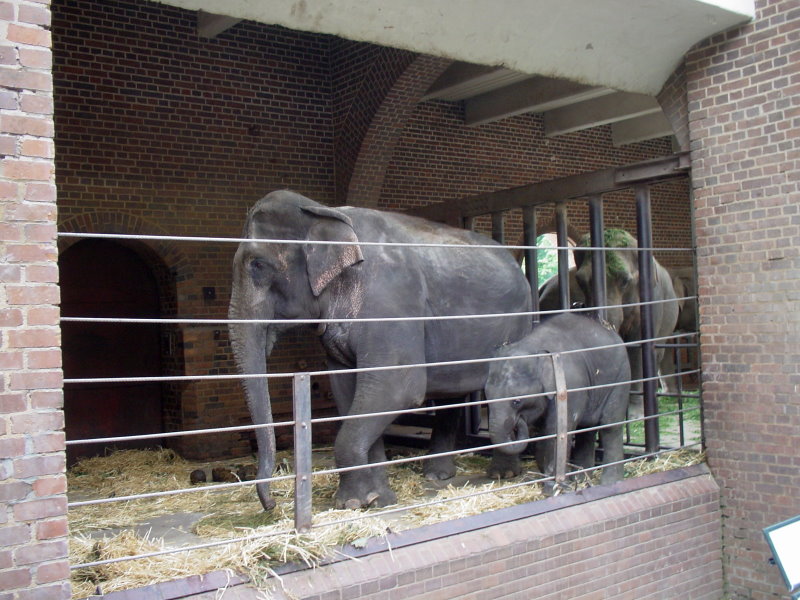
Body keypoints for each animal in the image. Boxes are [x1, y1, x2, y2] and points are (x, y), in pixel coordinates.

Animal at [228, 190, 533, 511]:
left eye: (257, 265)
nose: (271, 503)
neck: (323, 211)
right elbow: (349, 393)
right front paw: (373, 500)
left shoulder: (391, 303)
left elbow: (397, 388)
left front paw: (353, 502)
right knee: (453, 394)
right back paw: (438, 475)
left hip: (518, 323)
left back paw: (503, 474)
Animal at [484, 312, 630, 486]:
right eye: (486, 399)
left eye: (517, 401)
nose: (519, 421)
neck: (533, 347)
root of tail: (611, 330)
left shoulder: (568, 386)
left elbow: (556, 428)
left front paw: (553, 485)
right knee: (586, 430)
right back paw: (580, 478)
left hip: (621, 377)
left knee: (610, 425)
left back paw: (610, 482)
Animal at [573, 229, 679, 413]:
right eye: (580, 281)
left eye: (624, 281)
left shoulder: (652, 299)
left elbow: (638, 348)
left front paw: (635, 413)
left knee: (656, 353)